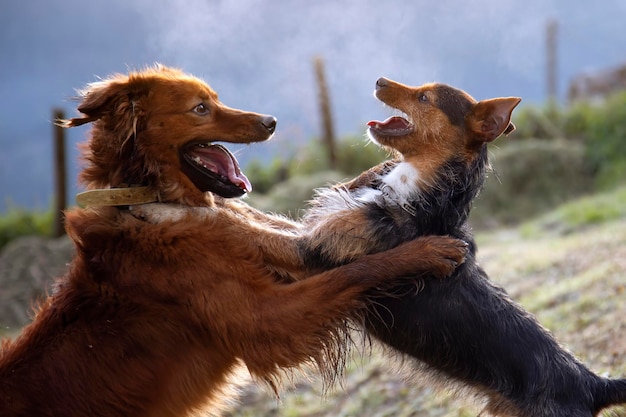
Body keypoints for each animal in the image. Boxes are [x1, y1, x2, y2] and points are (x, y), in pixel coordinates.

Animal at [0, 66, 466, 414]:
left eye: (215, 99)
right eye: (200, 108)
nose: (270, 122)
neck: (149, 199)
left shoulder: (275, 257)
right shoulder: (266, 317)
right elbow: (356, 271)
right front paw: (426, 251)